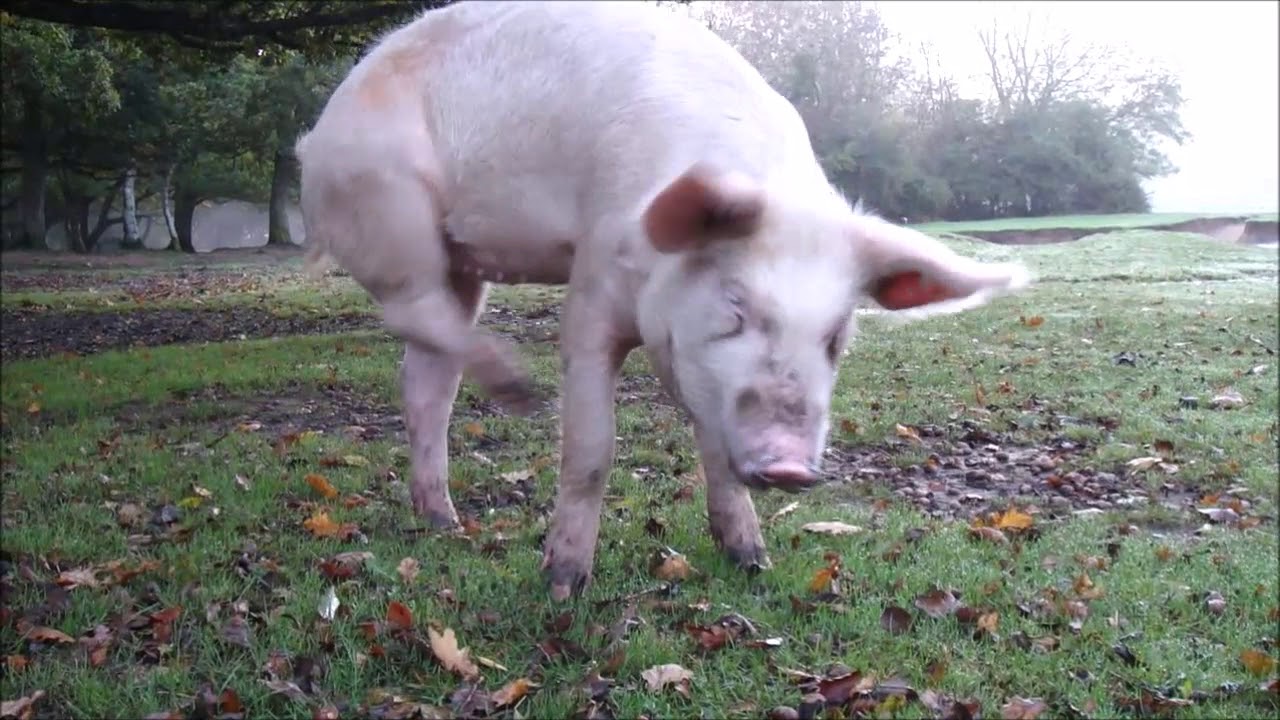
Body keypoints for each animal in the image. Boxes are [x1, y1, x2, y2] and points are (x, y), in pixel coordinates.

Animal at [294, 0, 1031, 600]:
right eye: (735, 305)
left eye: (836, 337)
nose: (791, 465)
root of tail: (318, 131)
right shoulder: (592, 282)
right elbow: (591, 446)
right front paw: (562, 584)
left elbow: (714, 447)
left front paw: (751, 559)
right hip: (392, 208)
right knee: (411, 311)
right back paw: (518, 392)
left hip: (456, 260)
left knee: (426, 379)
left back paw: (445, 521)